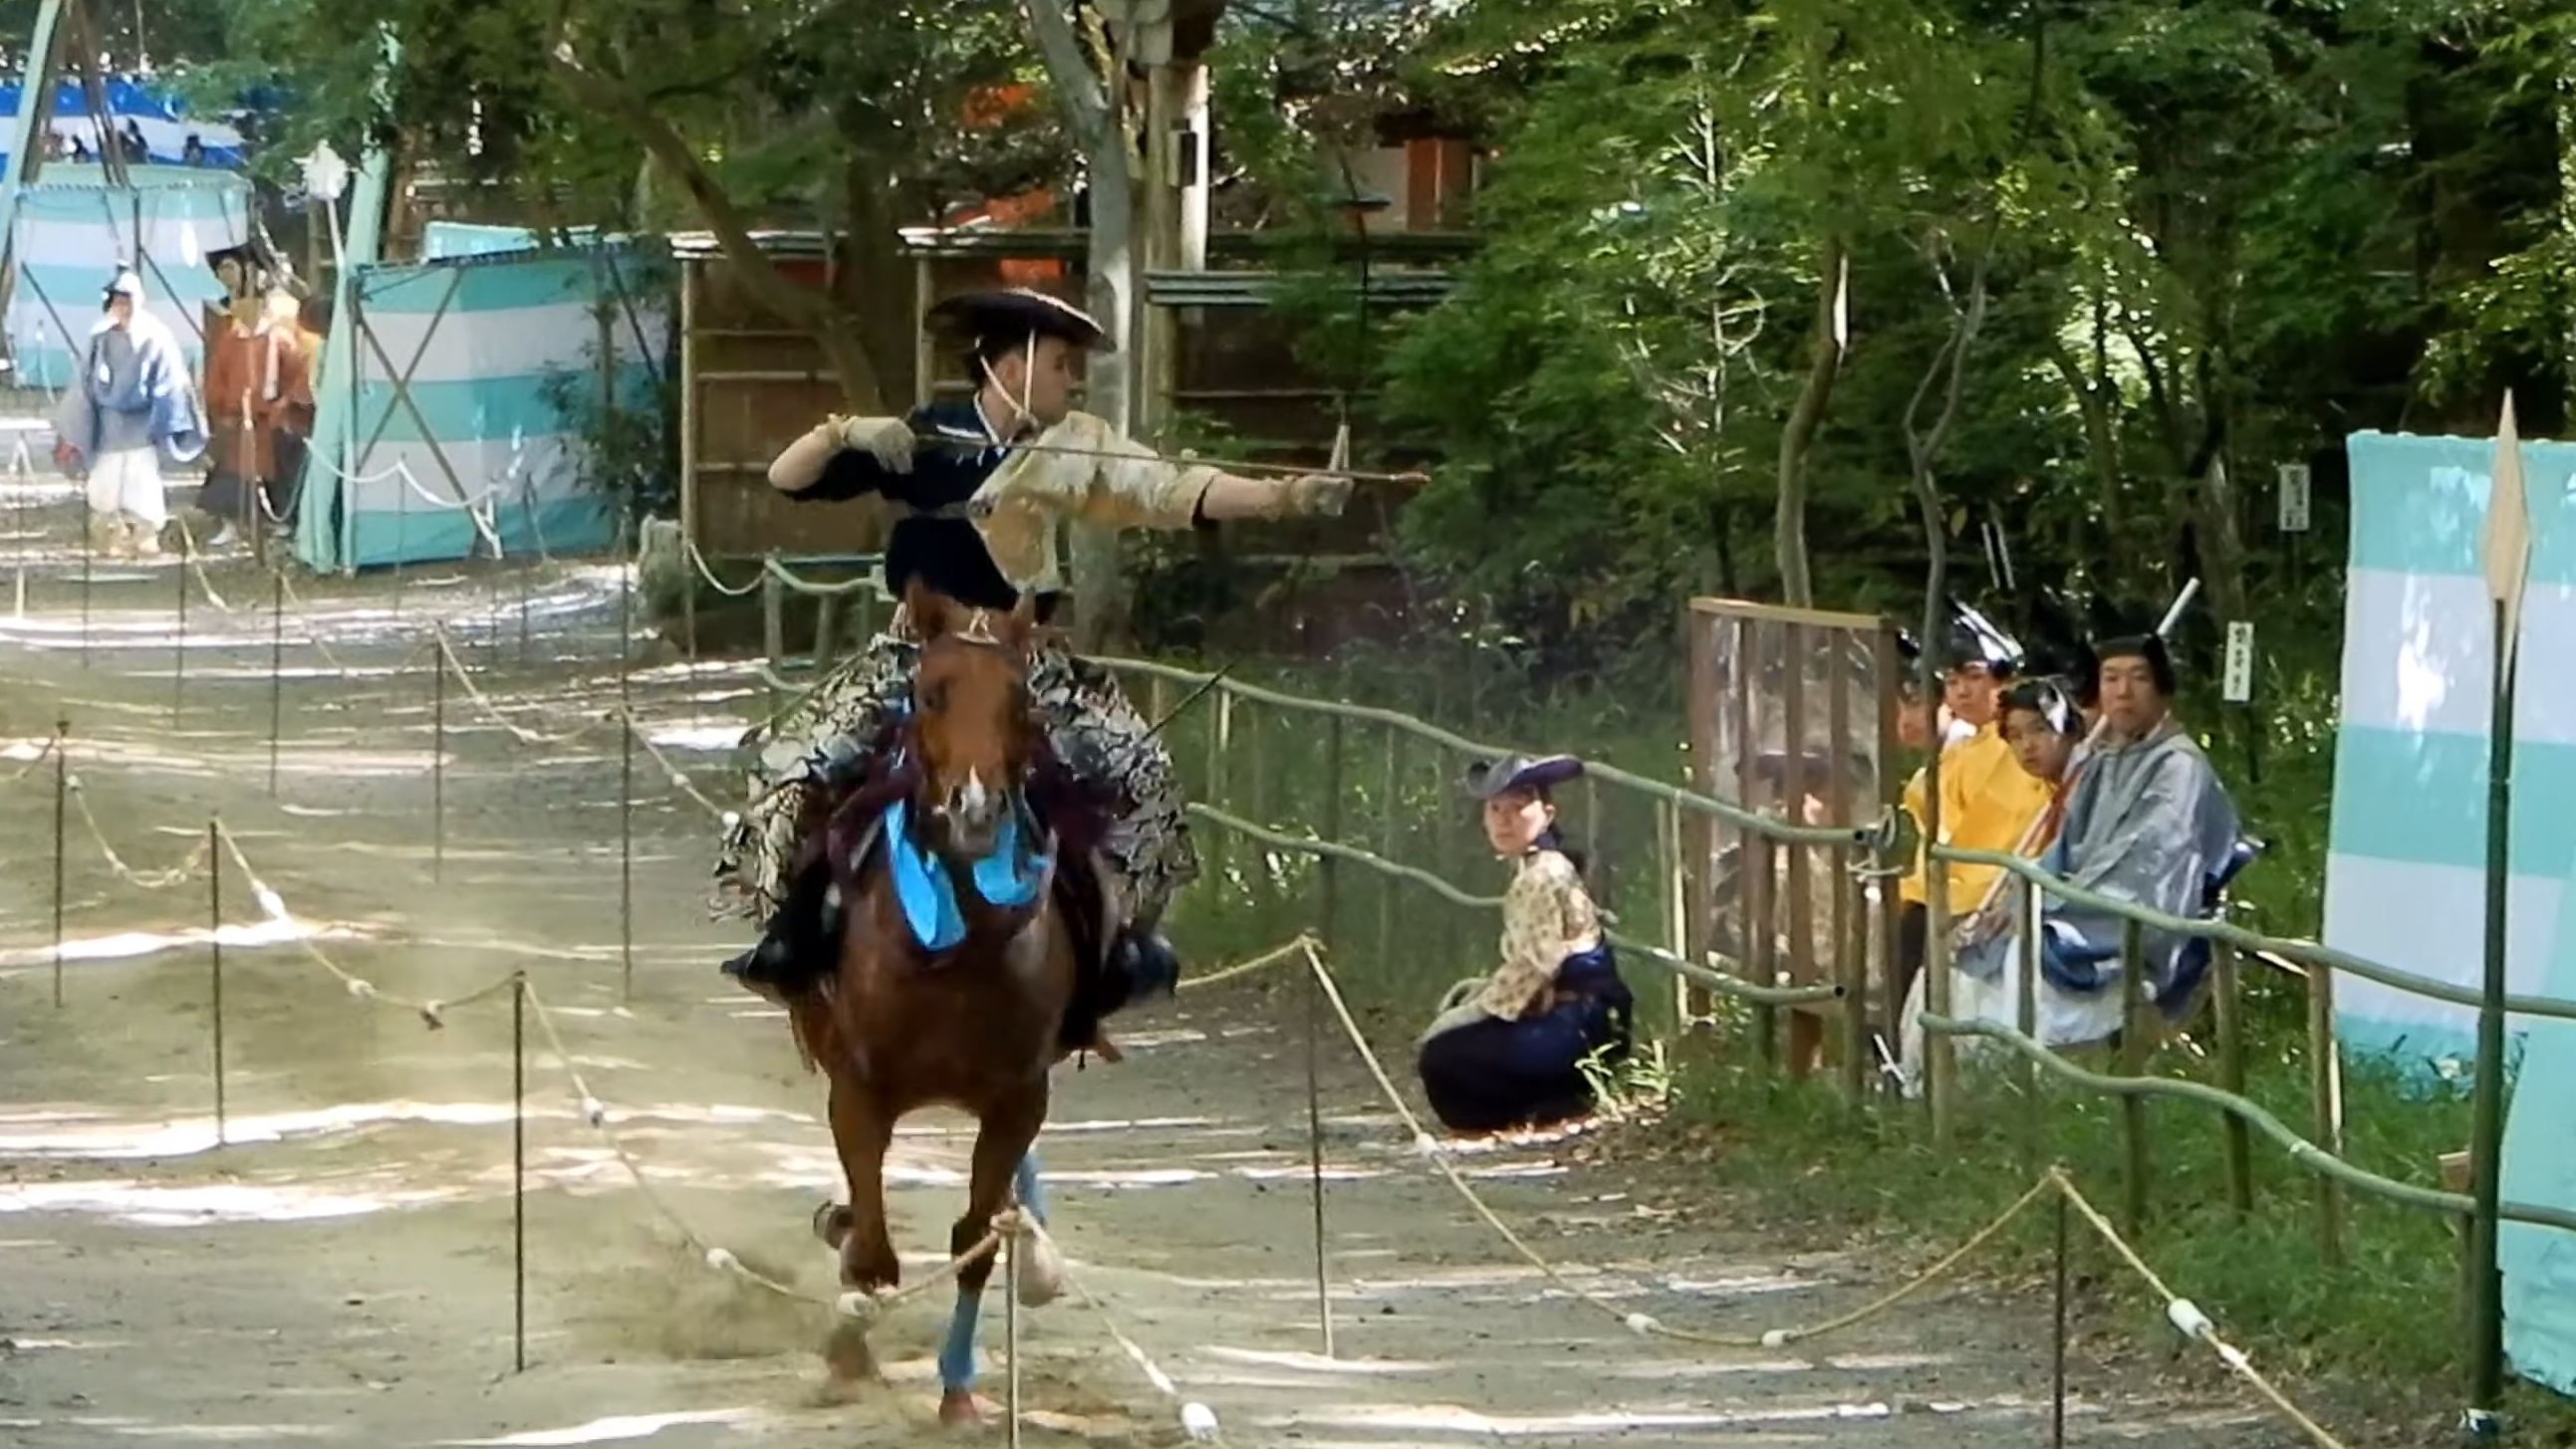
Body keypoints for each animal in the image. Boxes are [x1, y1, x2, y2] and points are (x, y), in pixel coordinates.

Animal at [803, 582, 1087, 1430]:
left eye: (1022, 700)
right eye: (930, 693)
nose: (975, 809)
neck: (958, 955)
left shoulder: (1018, 1096)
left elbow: (974, 1241)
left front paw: (959, 1386)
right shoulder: (858, 1089)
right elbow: (871, 1245)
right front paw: (846, 1343)